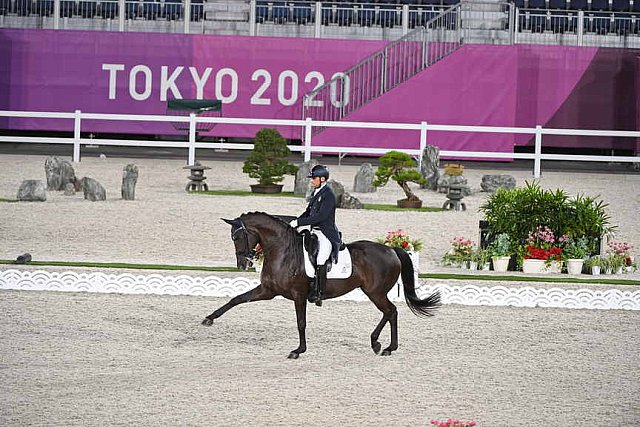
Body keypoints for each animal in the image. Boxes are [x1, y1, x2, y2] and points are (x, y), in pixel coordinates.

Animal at [201, 212, 440, 360]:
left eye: (238, 237)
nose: (243, 264)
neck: (283, 251)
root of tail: (391, 250)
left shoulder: (298, 294)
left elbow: (301, 323)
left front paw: (298, 350)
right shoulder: (268, 291)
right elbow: (237, 299)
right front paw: (209, 318)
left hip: (376, 292)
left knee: (391, 311)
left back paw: (384, 346)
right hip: (373, 292)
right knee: (390, 312)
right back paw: (381, 345)